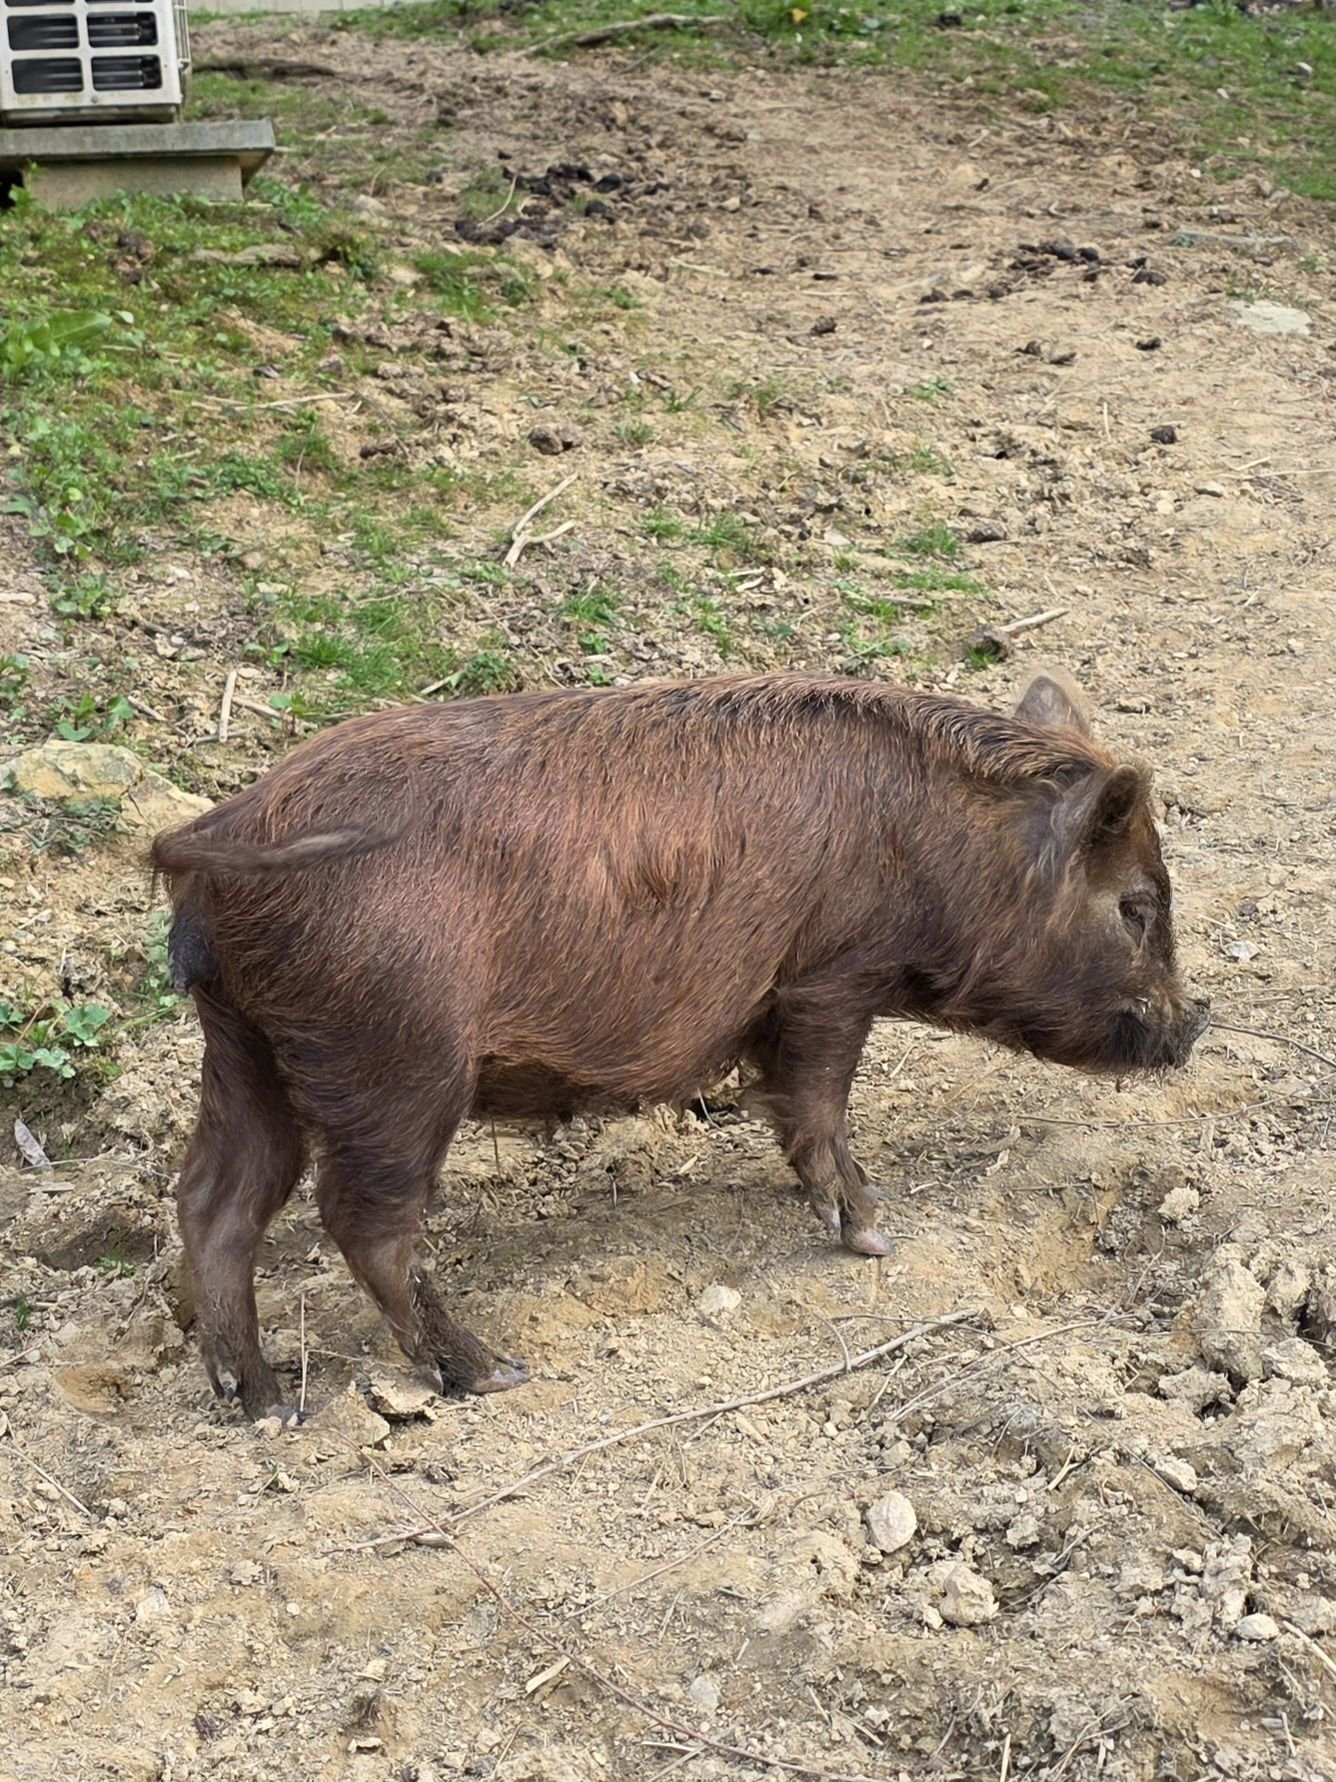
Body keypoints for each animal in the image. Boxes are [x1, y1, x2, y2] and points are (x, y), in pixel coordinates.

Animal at [150, 669, 1207, 1419]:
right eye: (1136, 905)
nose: (1193, 1023)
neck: (948, 850)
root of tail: (219, 832)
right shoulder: (829, 978)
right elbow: (820, 1104)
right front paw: (875, 1235)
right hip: (394, 1059)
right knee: (361, 1220)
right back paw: (493, 1373)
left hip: (245, 1046)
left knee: (213, 1200)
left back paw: (264, 1406)